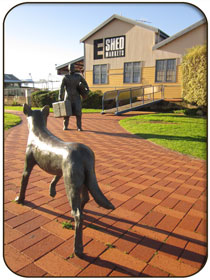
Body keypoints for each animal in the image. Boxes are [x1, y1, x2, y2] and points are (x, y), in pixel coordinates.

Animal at [15, 104, 115, 258]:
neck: (39, 131)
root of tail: (85, 154)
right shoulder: (59, 168)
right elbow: (55, 178)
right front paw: (52, 191)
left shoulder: (28, 166)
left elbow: (23, 182)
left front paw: (19, 199)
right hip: (86, 180)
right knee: (84, 199)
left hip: (71, 184)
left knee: (78, 215)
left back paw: (78, 248)